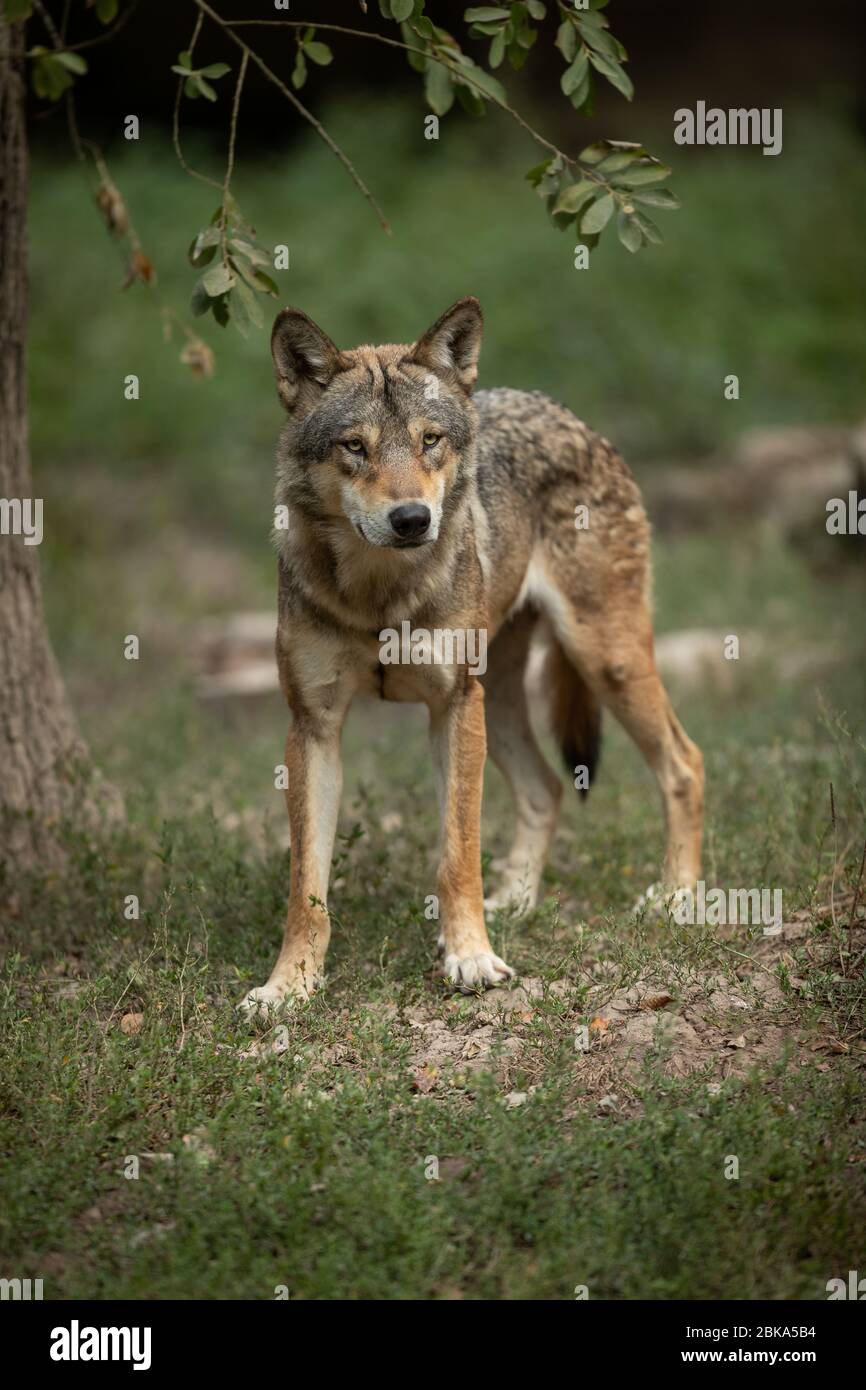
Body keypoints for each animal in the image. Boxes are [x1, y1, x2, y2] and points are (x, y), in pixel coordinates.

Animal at [240, 297, 704, 1015]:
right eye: (355, 447)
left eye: (430, 440)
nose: (411, 519)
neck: (380, 596)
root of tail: (570, 416)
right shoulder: (313, 727)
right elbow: (306, 887)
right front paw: (289, 985)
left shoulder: (454, 707)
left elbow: (457, 855)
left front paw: (471, 959)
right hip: (508, 699)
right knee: (546, 787)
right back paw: (517, 901)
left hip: (604, 661)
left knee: (686, 763)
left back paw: (676, 899)